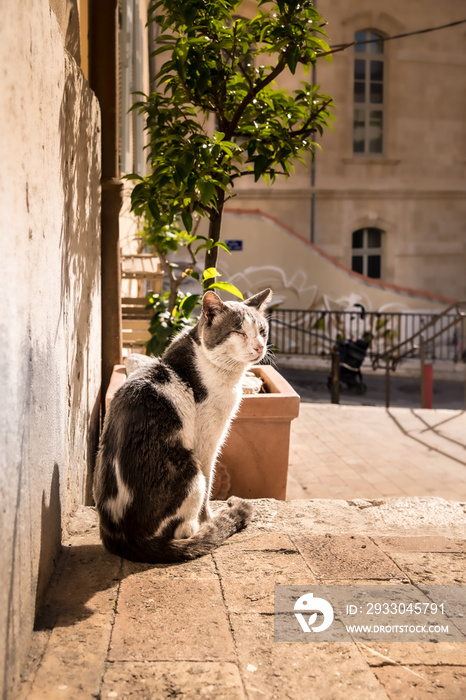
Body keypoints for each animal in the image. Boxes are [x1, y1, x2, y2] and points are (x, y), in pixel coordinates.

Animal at [92, 288, 272, 560]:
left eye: (262, 330)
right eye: (239, 332)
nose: (259, 346)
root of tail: (126, 537)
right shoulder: (208, 442)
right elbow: (209, 485)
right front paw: (210, 519)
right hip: (189, 471)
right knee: (184, 527)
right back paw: (200, 528)